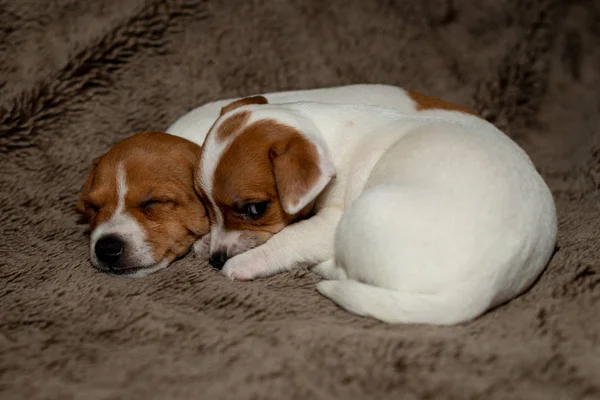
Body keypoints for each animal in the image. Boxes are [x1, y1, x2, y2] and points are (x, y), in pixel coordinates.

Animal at [197, 90, 556, 324]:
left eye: (254, 210)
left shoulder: (331, 221)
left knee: (349, 273)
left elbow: (290, 238)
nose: (216, 260)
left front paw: (246, 262)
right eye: (204, 203)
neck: (326, 138)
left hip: (364, 213)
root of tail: (479, 289)